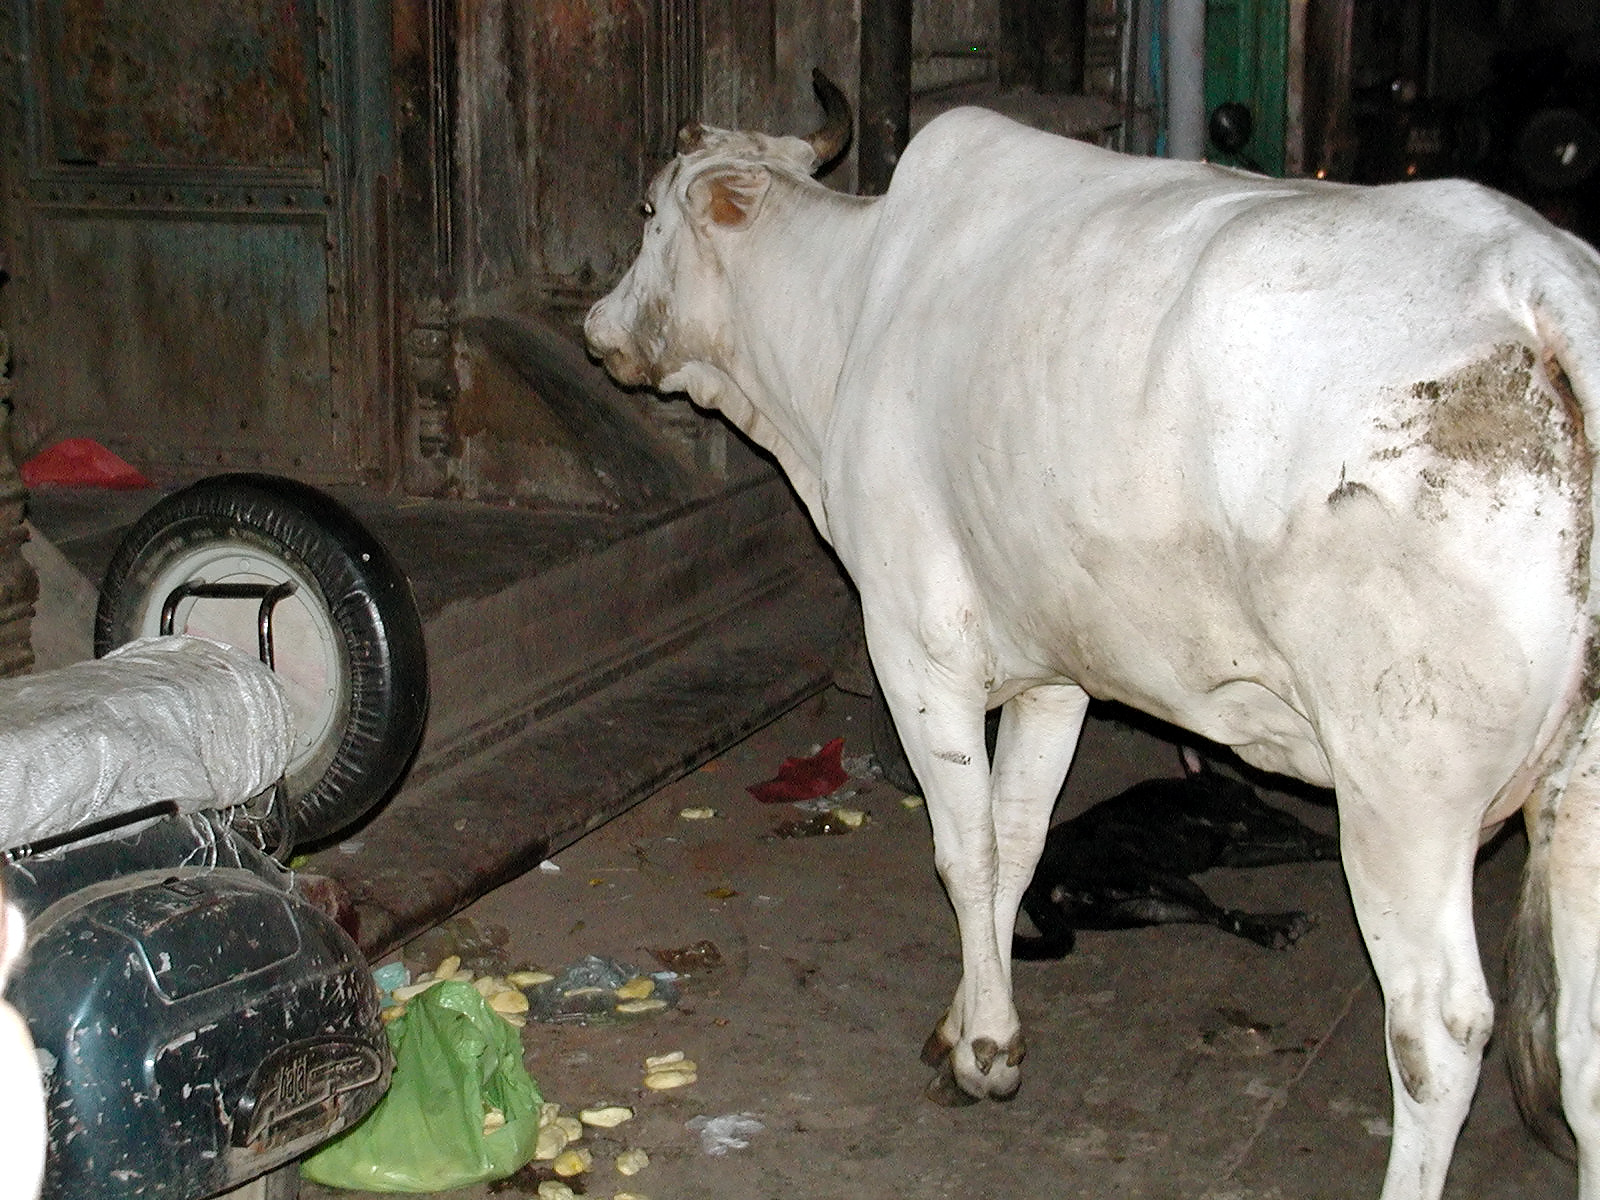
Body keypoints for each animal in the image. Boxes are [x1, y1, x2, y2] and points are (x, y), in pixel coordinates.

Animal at [584, 72, 1600, 1200]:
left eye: (646, 208)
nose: (595, 323)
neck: (846, 325)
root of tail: (1537, 278)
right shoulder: (1055, 666)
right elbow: (1020, 838)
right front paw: (965, 1024)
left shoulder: (917, 644)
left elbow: (965, 850)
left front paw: (986, 1050)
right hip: (1575, 795)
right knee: (1584, 1043)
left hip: (1402, 795)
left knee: (1438, 1029)